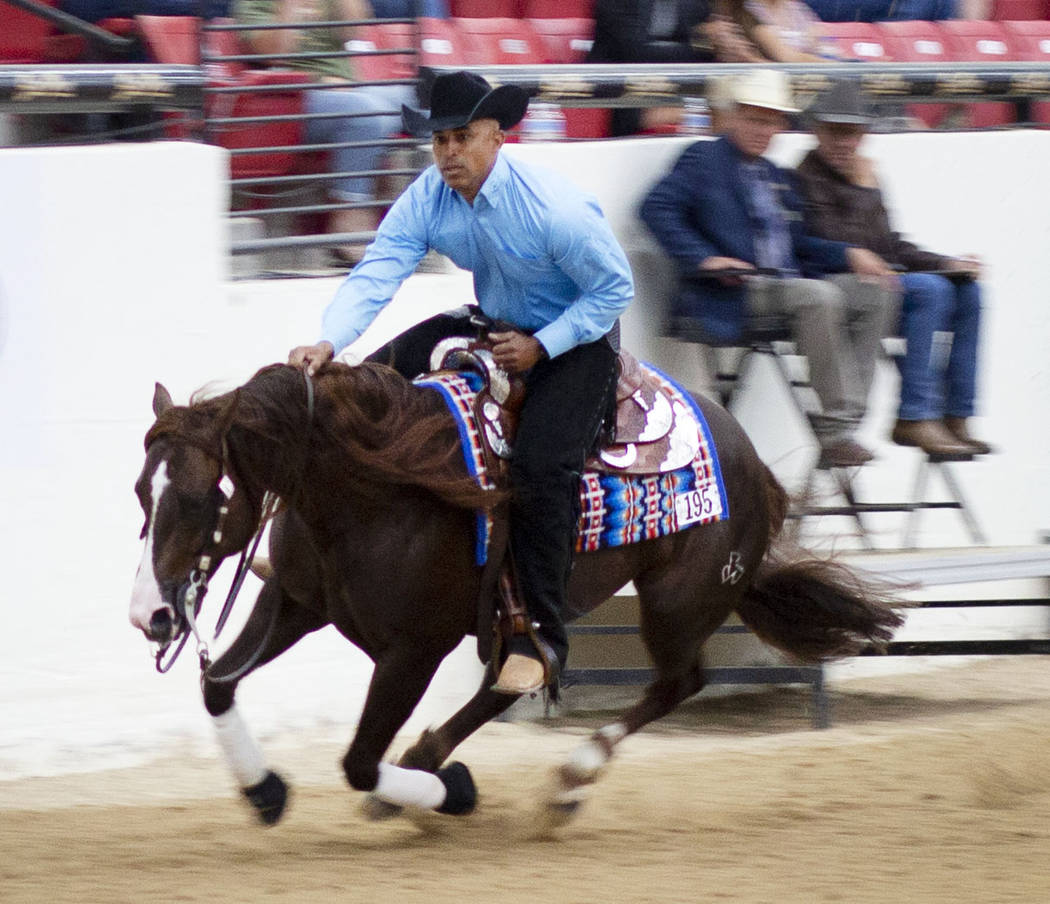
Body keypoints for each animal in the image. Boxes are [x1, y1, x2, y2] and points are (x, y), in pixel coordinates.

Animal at [129, 359, 902, 827]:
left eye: (198, 498)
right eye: (142, 491)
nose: (150, 616)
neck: (370, 492)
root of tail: (751, 461)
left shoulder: (412, 652)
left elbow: (357, 763)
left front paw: (453, 794)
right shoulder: (294, 604)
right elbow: (218, 687)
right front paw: (264, 790)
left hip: (675, 603)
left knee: (677, 682)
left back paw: (568, 780)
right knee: (516, 678)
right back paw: (427, 760)